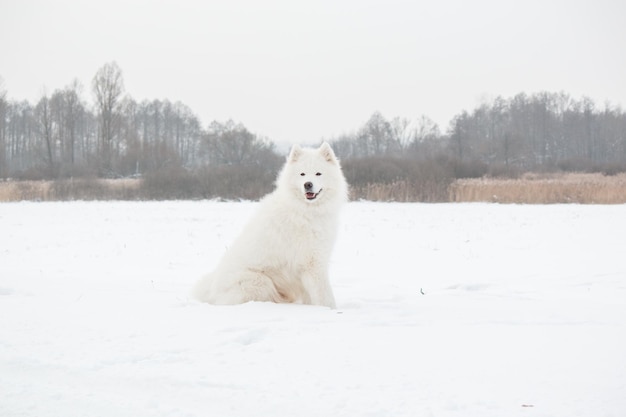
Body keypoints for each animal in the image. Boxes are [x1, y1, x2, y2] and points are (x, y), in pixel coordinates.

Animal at [191, 141, 346, 308]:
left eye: (318, 173)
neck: (305, 210)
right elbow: (325, 295)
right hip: (260, 283)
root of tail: (212, 291)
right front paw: (329, 309)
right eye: (302, 174)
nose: (308, 185)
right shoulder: (312, 263)